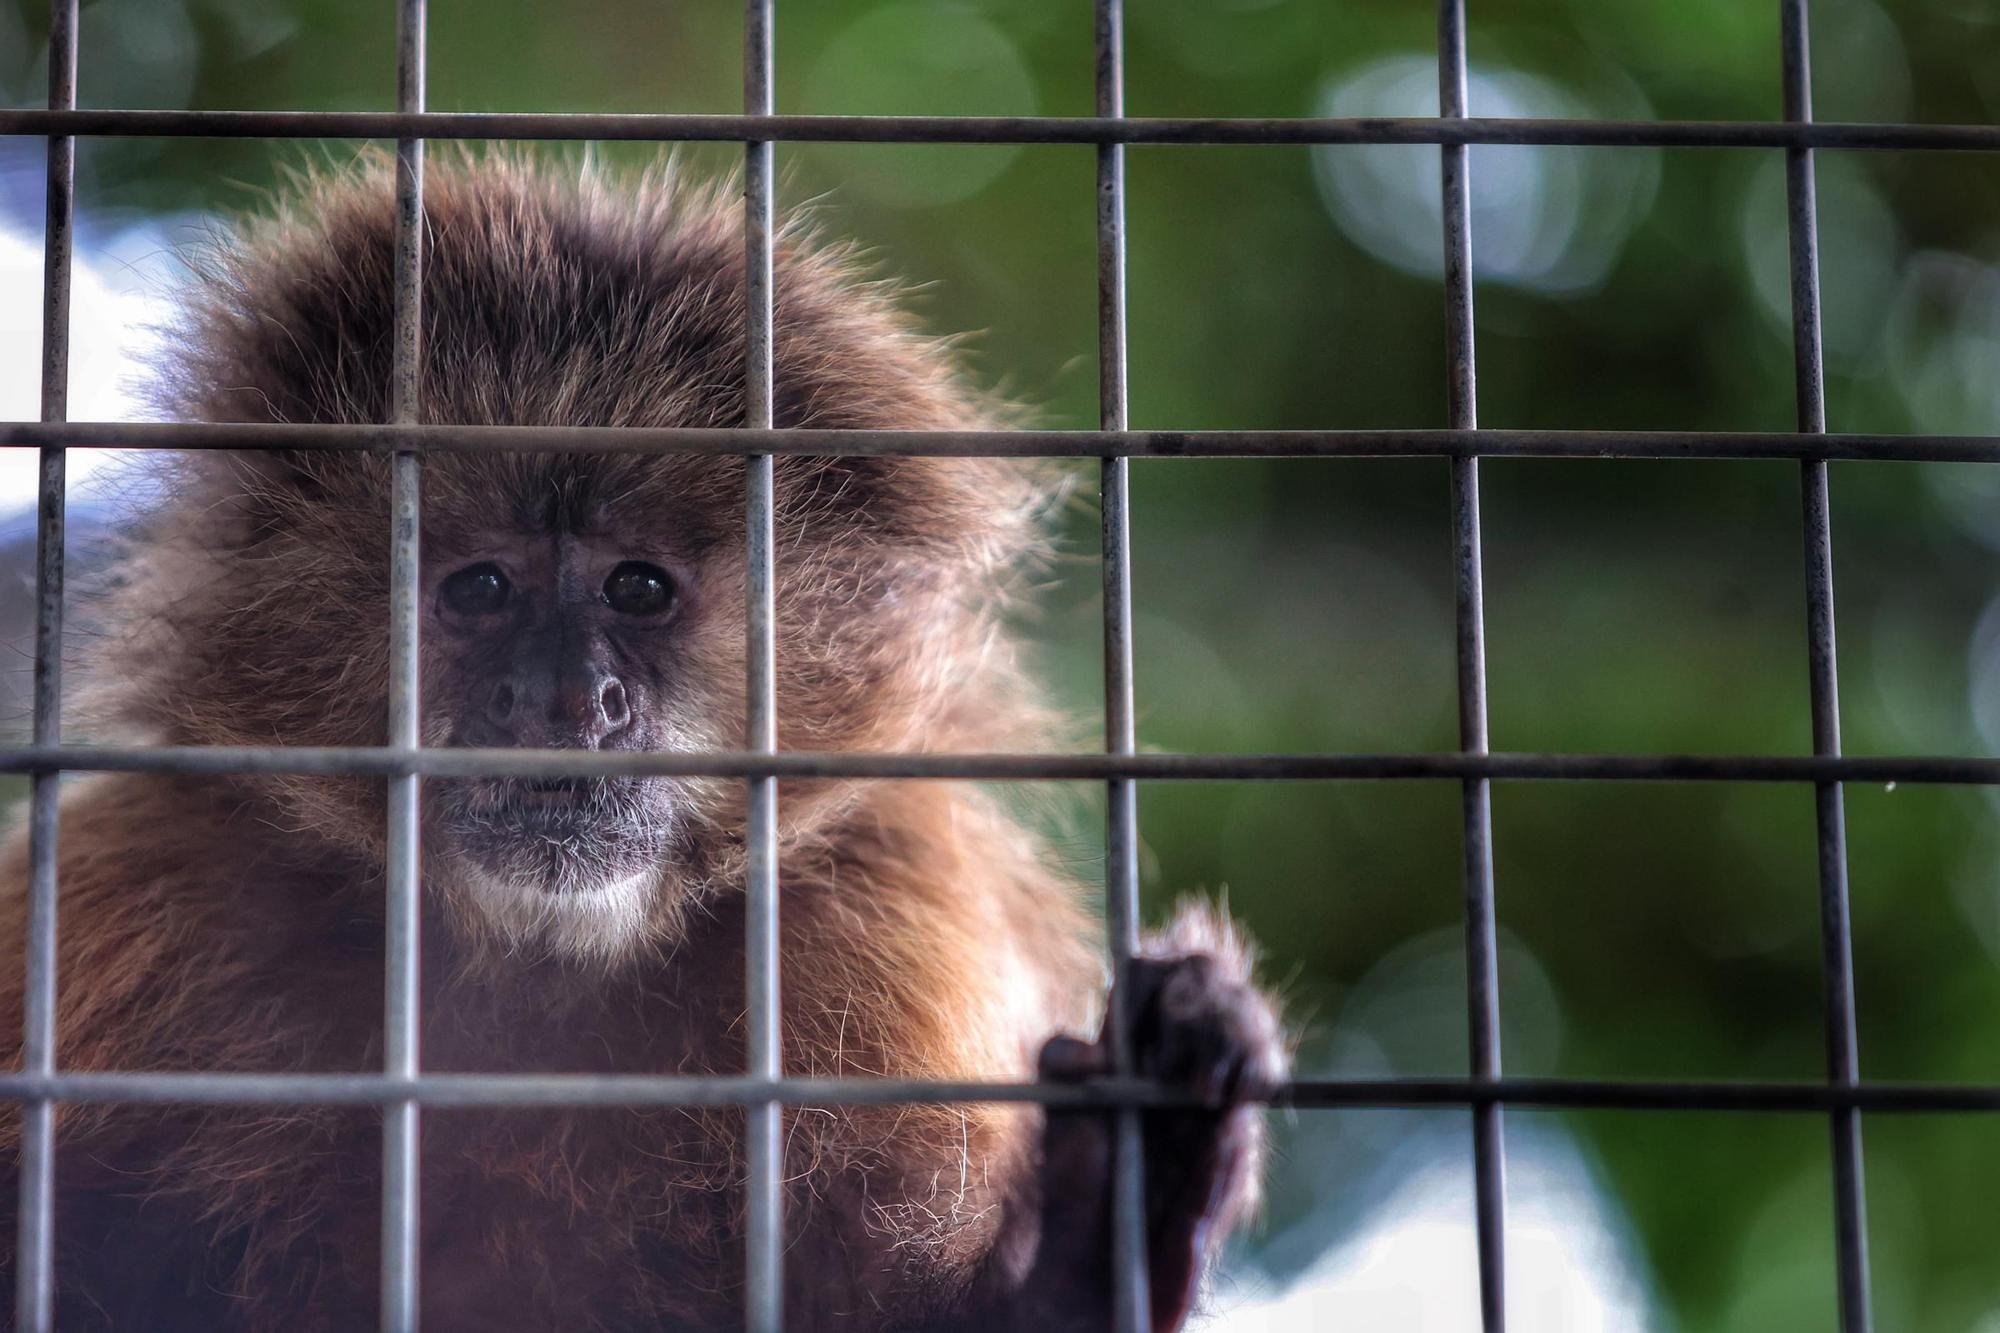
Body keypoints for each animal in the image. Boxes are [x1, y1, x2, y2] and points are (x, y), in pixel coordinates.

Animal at [0, 156, 1288, 1328]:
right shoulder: (152, 880)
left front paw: (1109, 1220)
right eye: (480, 587)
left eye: (638, 587)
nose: (570, 698)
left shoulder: (881, 905)